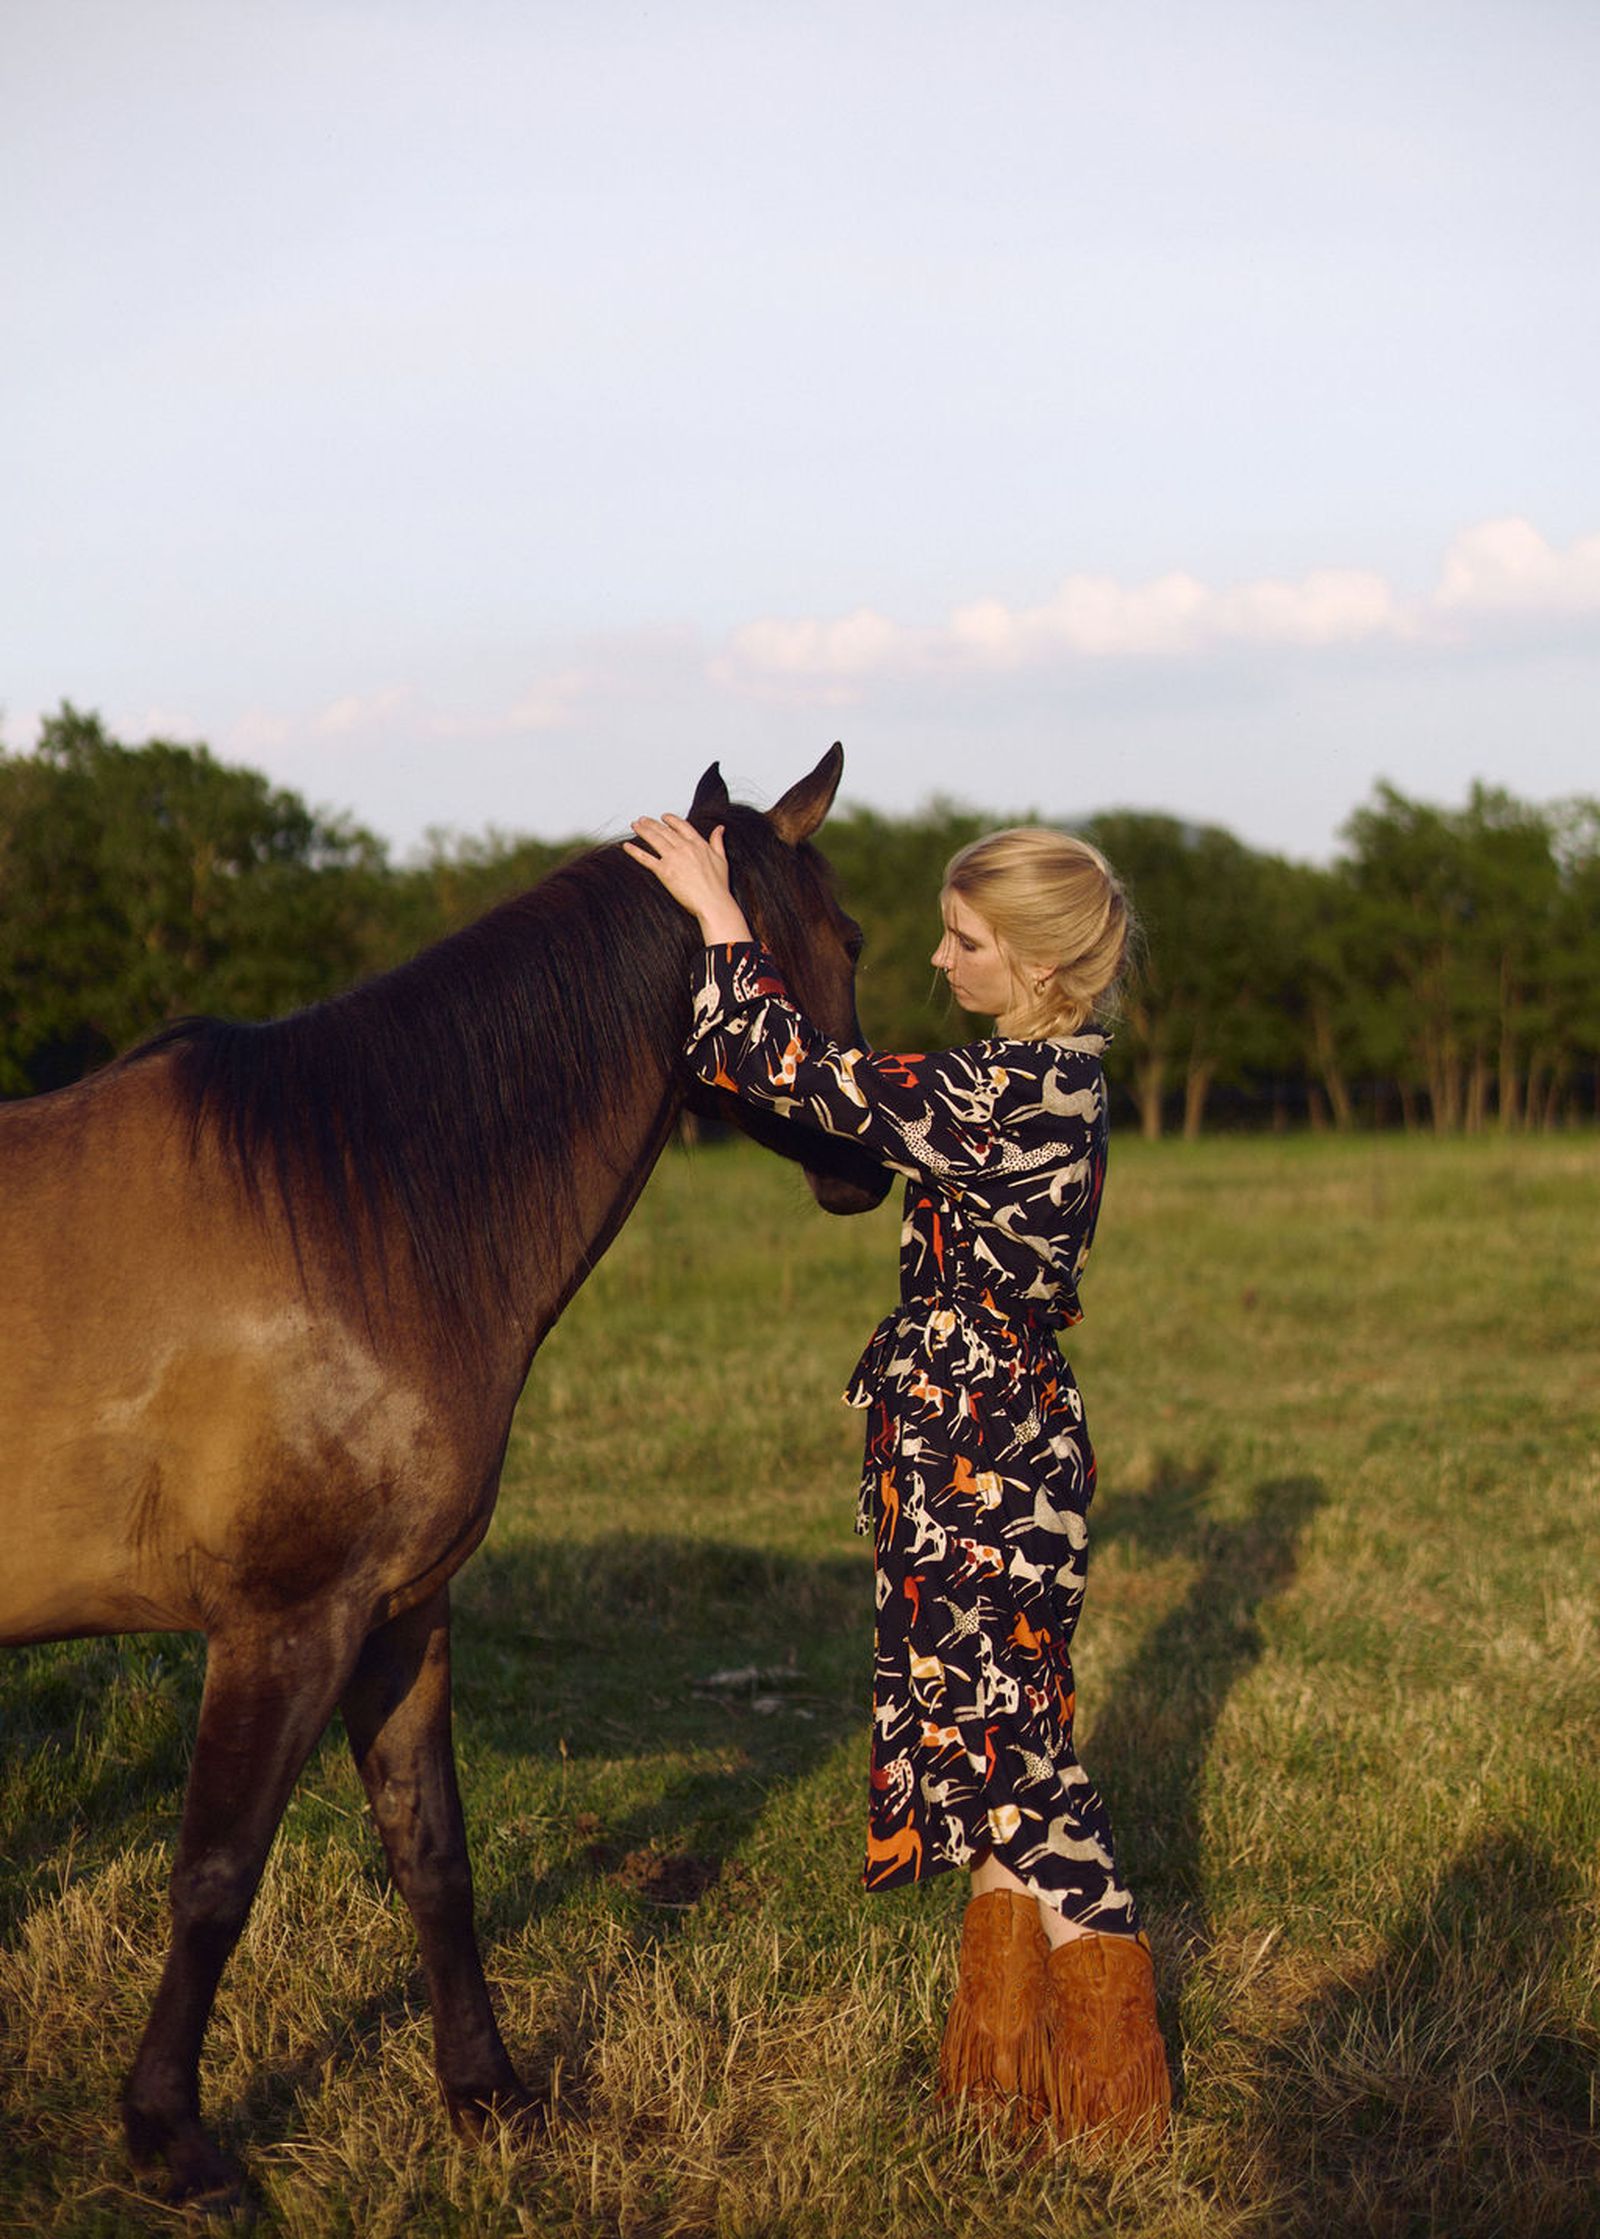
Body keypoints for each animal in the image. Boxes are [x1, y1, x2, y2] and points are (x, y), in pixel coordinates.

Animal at [0, 745, 890, 2205]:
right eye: (848, 937)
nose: (865, 1165)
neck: (351, 1213)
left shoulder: (401, 1612)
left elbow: (433, 1853)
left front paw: (487, 2091)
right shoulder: (284, 1624)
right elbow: (214, 1876)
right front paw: (174, 2136)